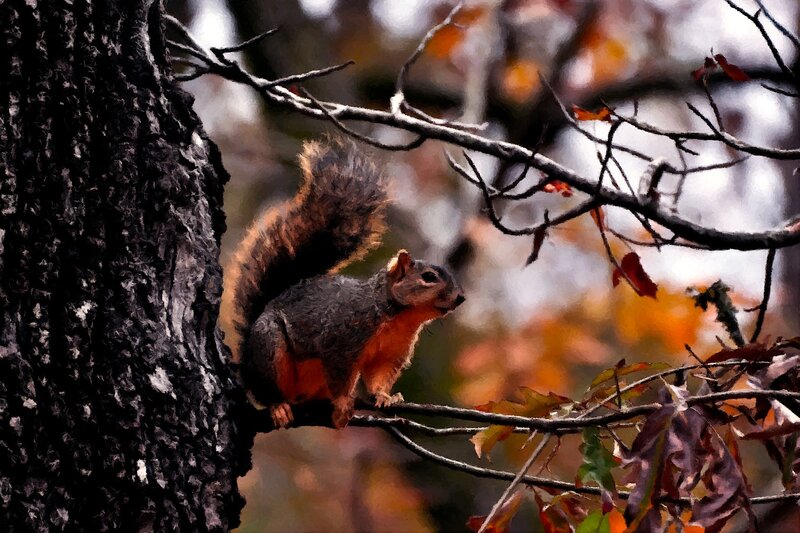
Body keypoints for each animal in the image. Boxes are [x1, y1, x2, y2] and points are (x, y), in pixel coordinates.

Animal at [225, 138, 465, 429]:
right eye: (428, 277)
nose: (460, 297)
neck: (398, 317)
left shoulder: (391, 353)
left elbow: (378, 377)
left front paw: (385, 396)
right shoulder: (342, 339)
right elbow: (340, 374)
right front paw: (342, 403)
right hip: (269, 347)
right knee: (268, 388)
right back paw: (279, 406)